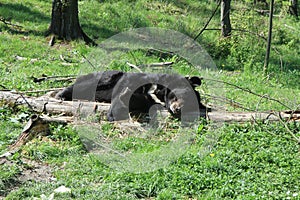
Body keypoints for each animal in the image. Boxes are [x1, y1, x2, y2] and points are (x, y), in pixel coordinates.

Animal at [54, 70, 209, 122]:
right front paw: (112, 114)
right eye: (184, 96)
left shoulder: (147, 101)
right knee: (83, 85)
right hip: (105, 78)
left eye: (190, 105)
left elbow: (134, 100)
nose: (178, 109)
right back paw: (60, 95)